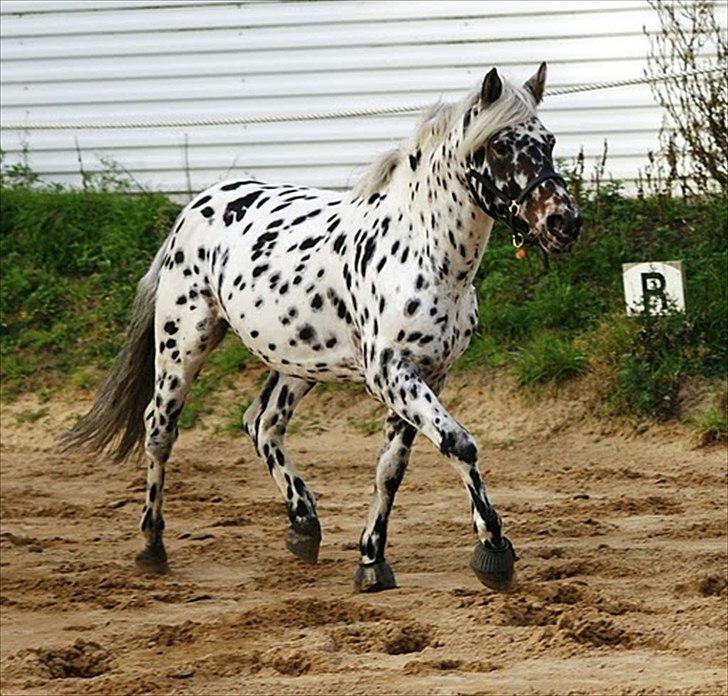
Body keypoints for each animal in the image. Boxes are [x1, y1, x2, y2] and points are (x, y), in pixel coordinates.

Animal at [65, 65, 584, 592]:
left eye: (549, 141)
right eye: (499, 145)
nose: (564, 222)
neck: (421, 251)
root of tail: (193, 209)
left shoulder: (429, 374)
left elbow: (391, 467)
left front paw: (372, 560)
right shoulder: (391, 373)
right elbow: (458, 443)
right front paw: (494, 549)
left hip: (296, 361)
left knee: (262, 423)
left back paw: (304, 525)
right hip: (184, 343)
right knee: (160, 428)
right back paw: (152, 546)